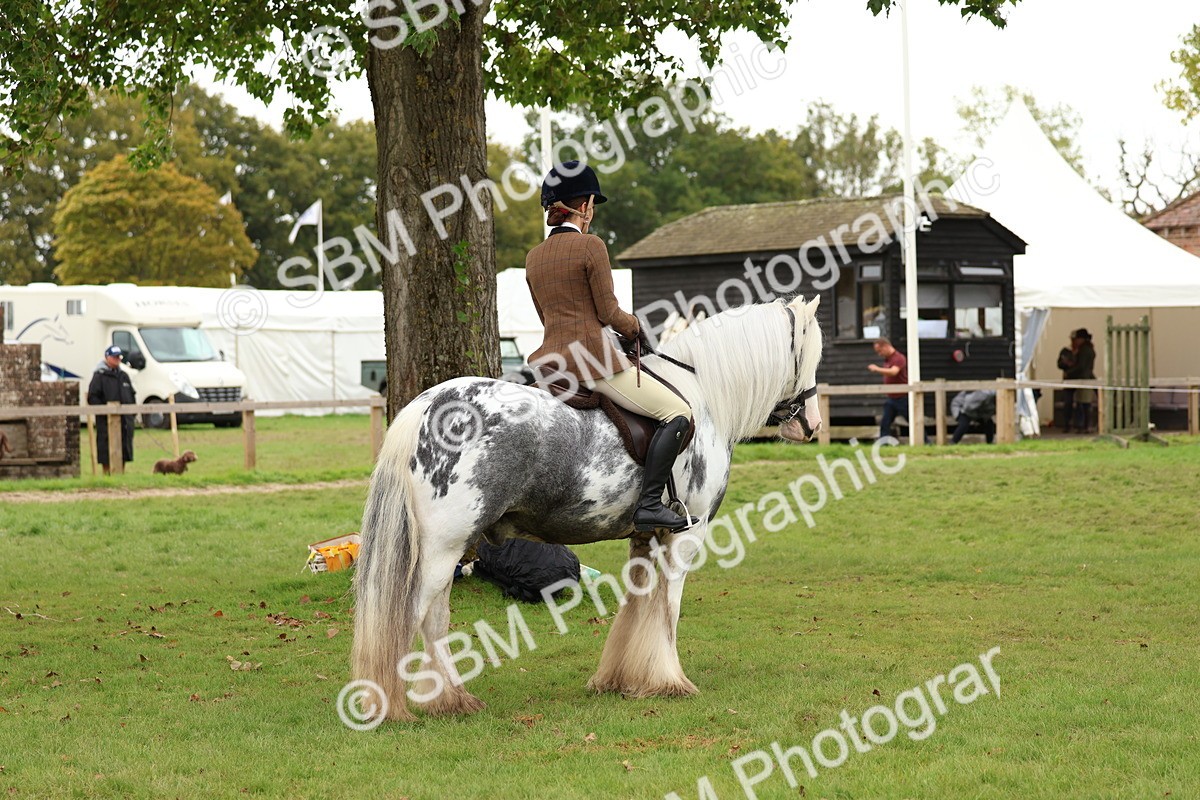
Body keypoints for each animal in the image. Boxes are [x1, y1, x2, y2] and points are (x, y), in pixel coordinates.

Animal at [352, 294, 824, 721]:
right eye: (809, 357)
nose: (813, 426)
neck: (703, 394)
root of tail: (425, 407)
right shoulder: (688, 534)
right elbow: (668, 609)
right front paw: (671, 681)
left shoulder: (647, 537)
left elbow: (639, 607)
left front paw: (626, 680)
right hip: (442, 548)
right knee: (411, 618)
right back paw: (396, 707)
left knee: (434, 619)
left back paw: (452, 700)